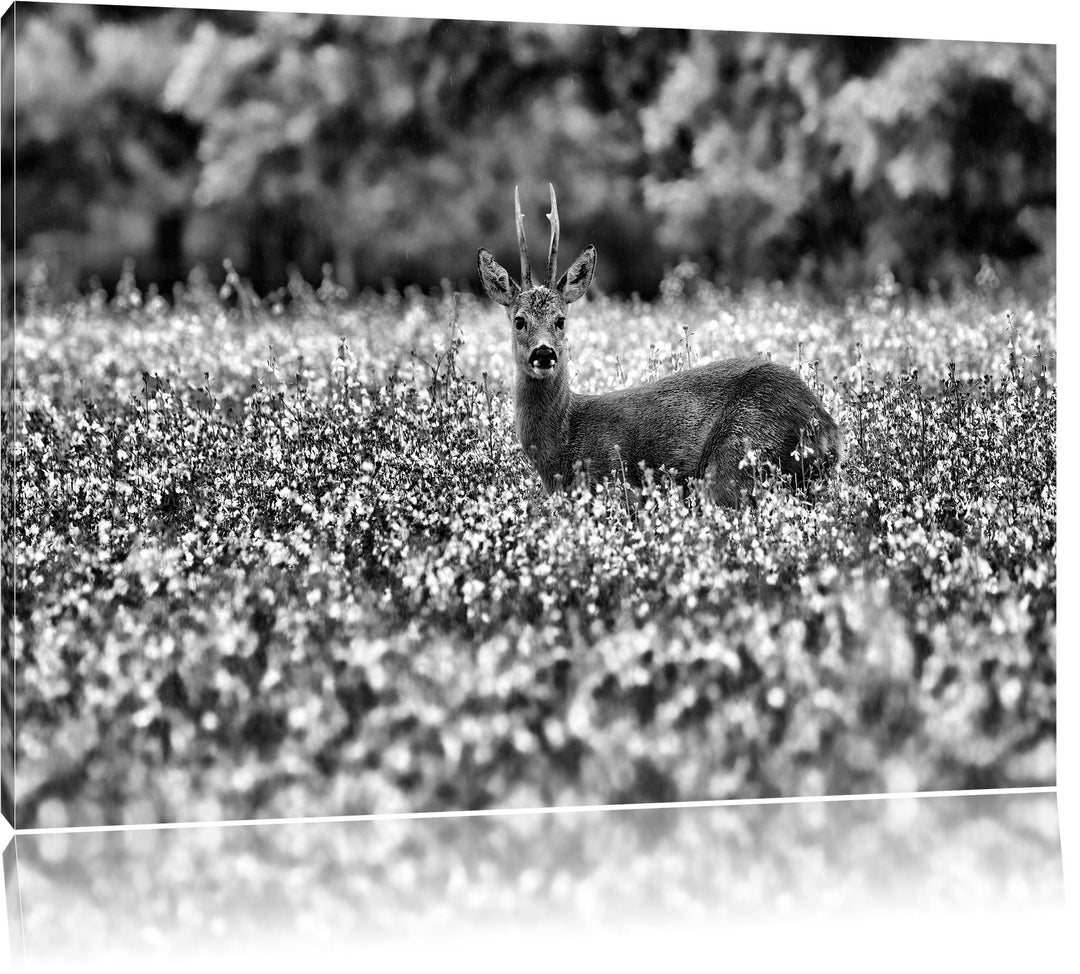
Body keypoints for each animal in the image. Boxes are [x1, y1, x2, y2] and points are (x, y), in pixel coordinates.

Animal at [477, 184, 842, 506]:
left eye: (561, 320)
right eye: (519, 320)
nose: (543, 353)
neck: (563, 445)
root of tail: (828, 429)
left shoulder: (617, 483)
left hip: (738, 456)